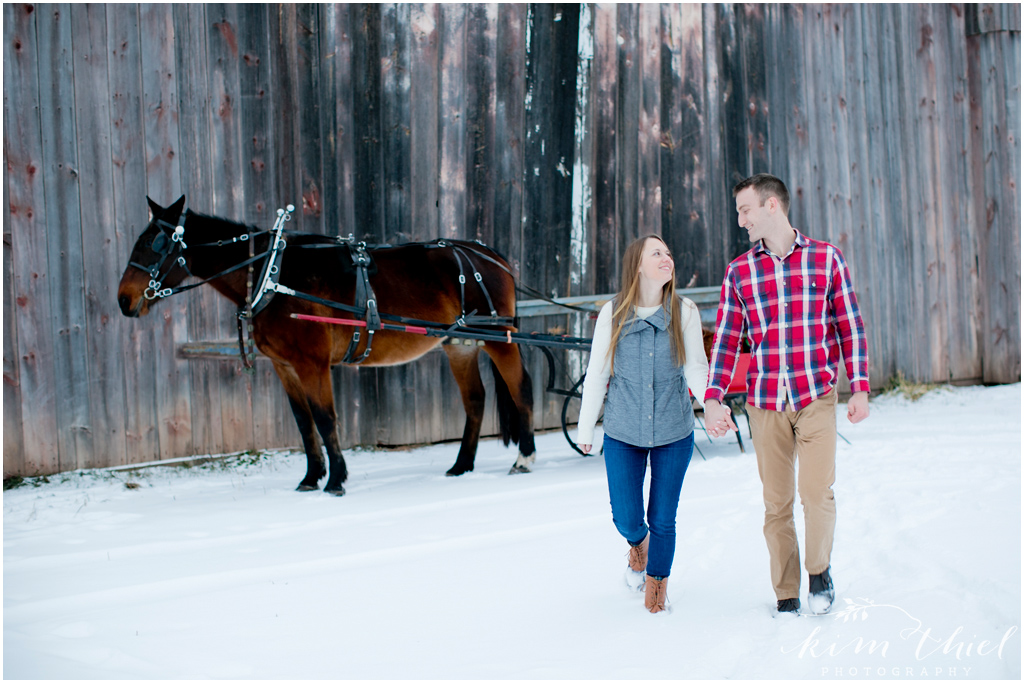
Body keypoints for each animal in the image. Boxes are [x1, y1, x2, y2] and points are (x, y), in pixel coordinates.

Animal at [116, 197, 536, 497]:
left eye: (154, 244)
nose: (123, 300)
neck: (272, 274)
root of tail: (490, 255)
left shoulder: (312, 363)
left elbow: (325, 417)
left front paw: (335, 480)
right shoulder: (285, 366)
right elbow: (304, 423)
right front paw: (310, 478)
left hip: (500, 340)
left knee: (522, 390)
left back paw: (525, 458)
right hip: (460, 344)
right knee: (475, 400)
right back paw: (461, 466)